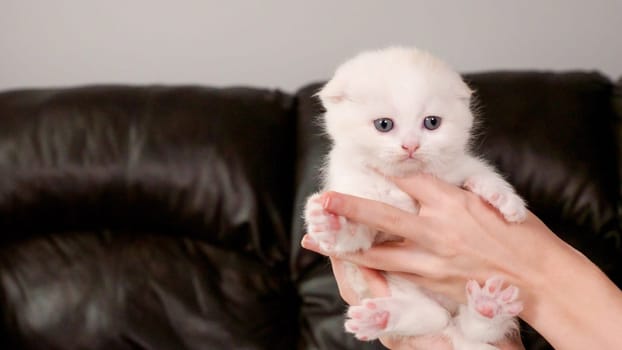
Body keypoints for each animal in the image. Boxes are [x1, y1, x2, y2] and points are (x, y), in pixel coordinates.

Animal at [304, 47, 528, 350]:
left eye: (431, 123)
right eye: (384, 125)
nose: (410, 146)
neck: (402, 185)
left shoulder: (458, 168)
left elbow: (481, 173)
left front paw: (504, 199)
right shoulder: (358, 200)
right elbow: (353, 239)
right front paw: (330, 222)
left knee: (476, 331)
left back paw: (489, 307)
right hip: (401, 287)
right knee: (430, 316)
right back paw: (384, 316)